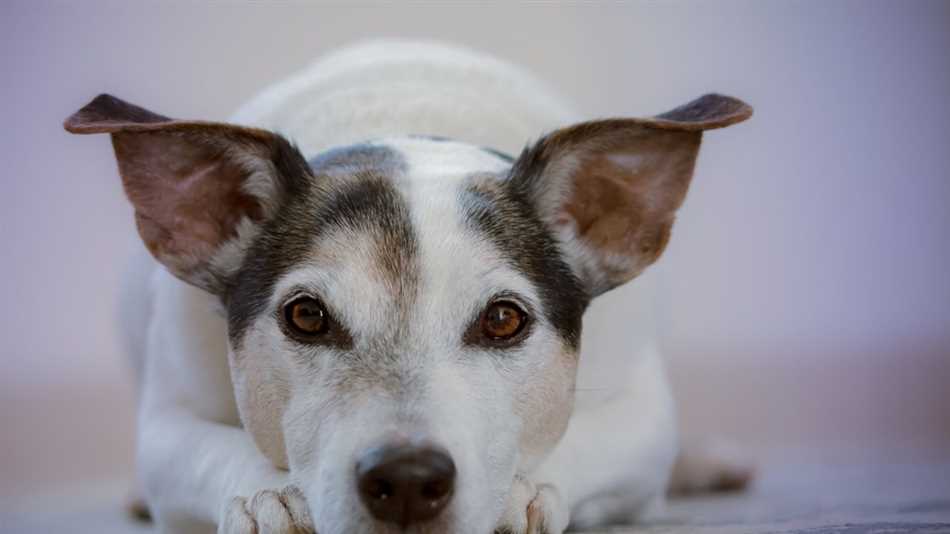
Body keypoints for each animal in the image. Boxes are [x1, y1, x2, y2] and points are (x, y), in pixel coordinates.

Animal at [63, 42, 756, 534]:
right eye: (306, 316)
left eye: (503, 320)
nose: (405, 479)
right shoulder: (168, 420)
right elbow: (206, 448)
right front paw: (269, 494)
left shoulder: (642, 414)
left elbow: (586, 442)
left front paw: (525, 491)